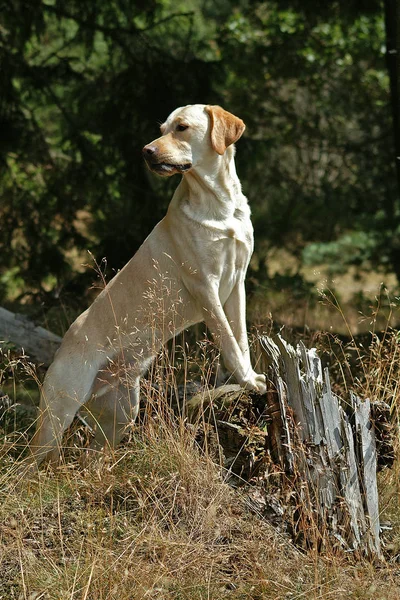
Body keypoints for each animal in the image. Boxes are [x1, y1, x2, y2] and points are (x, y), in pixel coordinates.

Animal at [27, 105, 266, 466]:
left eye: (181, 128)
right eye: (162, 129)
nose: (146, 152)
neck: (219, 205)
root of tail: (61, 347)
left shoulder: (236, 283)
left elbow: (240, 339)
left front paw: (246, 376)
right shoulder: (204, 286)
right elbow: (228, 340)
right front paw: (248, 381)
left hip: (121, 415)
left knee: (93, 459)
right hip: (57, 417)